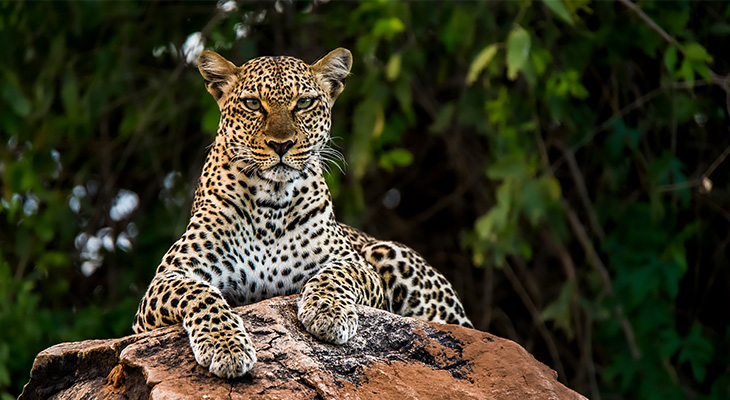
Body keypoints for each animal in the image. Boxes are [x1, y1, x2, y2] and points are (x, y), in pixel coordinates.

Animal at [132, 47, 472, 378]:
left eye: (304, 102)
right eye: (253, 104)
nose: (281, 145)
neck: (270, 202)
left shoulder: (357, 265)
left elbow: (335, 274)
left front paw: (328, 312)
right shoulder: (166, 280)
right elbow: (200, 293)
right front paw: (225, 345)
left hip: (388, 252)